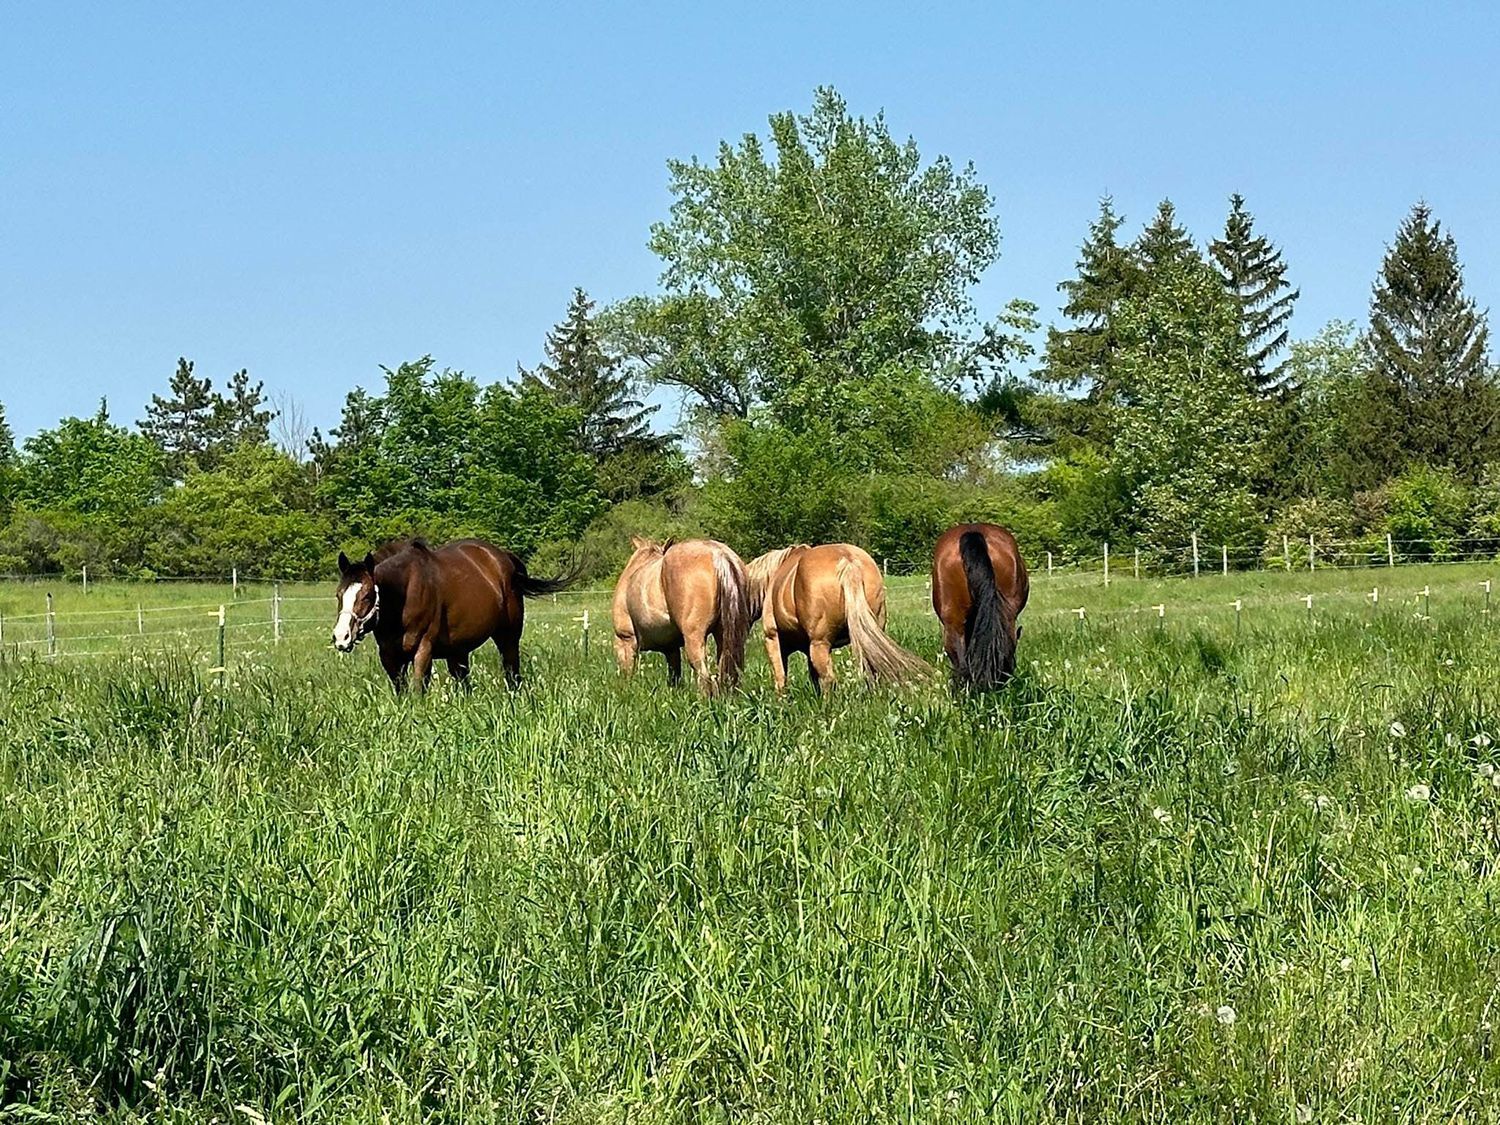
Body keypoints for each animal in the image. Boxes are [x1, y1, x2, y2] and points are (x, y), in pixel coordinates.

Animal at [333, 538, 571, 692]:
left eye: (367, 596)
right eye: (338, 594)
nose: (341, 637)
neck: (405, 595)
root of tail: (505, 558)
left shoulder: (423, 650)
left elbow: (418, 691)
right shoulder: (389, 656)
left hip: (508, 637)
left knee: (512, 674)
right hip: (458, 651)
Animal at [611, 537, 751, 694]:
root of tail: (719, 554)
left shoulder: (625, 640)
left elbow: (627, 674)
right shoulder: (671, 649)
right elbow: (674, 677)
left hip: (694, 638)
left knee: (704, 677)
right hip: (724, 635)